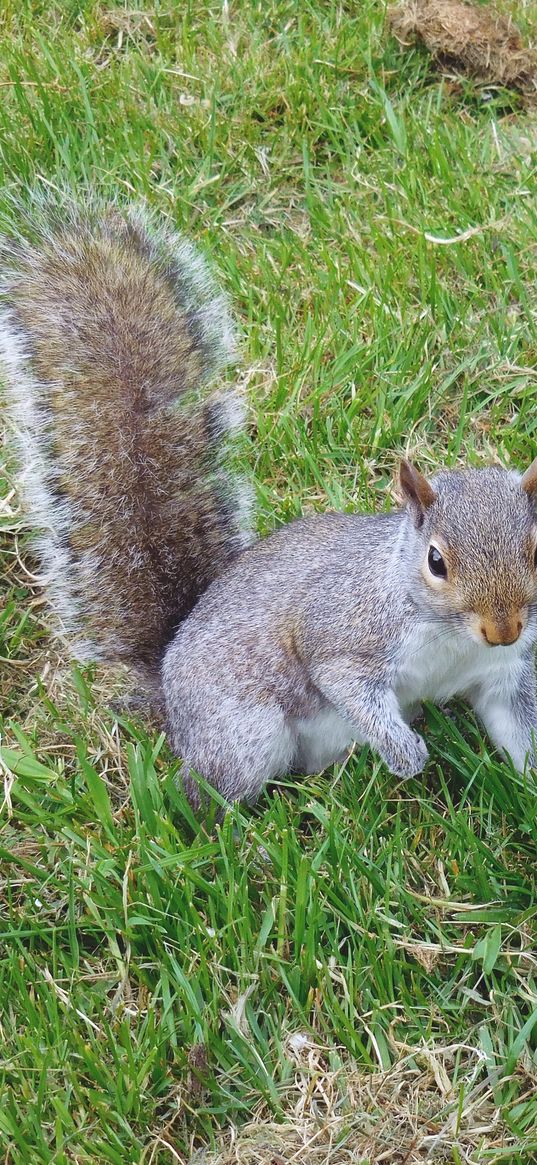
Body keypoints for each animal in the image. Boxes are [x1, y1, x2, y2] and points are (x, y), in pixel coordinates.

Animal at [1, 198, 535, 810]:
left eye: (535, 548)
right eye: (436, 562)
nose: (504, 629)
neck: (453, 638)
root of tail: (168, 688)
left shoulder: (505, 671)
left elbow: (514, 725)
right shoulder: (345, 635)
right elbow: (347, 684)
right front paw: (404, 754)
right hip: (244, 735)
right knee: (208, 793)